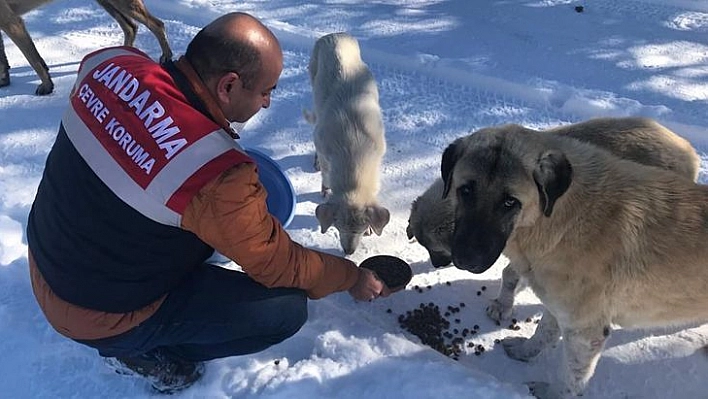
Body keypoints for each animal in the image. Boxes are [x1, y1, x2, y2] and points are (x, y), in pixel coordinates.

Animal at [0, 0, 171, 95]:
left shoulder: (11, 22)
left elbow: (34, 60)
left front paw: (47, 86)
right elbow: (3, 60)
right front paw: (4, 81)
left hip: (121, 2)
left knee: (157, 24)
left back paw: (166, 57)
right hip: (107, 2)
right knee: (130, 27)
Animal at [442, 123, 708, 398]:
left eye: (509, 202)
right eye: (466, 190)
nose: (466, 259)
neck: (558, 219)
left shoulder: (585, 331)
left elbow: (572, 377)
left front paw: (551, 393)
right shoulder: (558, 306)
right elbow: (544, 332)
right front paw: (525, 352)